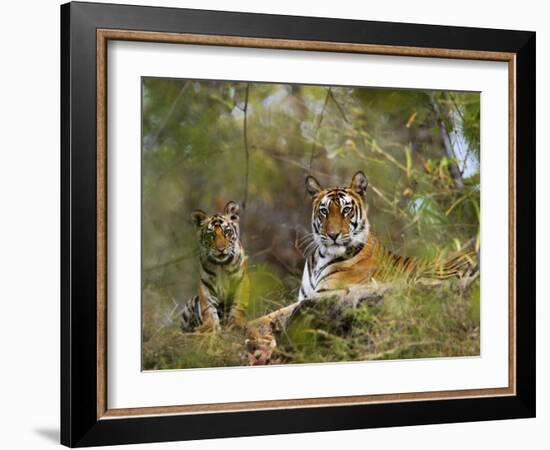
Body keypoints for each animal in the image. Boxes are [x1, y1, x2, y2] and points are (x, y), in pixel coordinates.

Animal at [181, 202, 250, 332]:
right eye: (211, 235)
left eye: (227, 232)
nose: (221, 249)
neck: (222, 265)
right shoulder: (206, 284)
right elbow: (208, 308)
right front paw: (209, 326)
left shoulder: (240, 280)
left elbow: (238, 305)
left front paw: (236, 323)